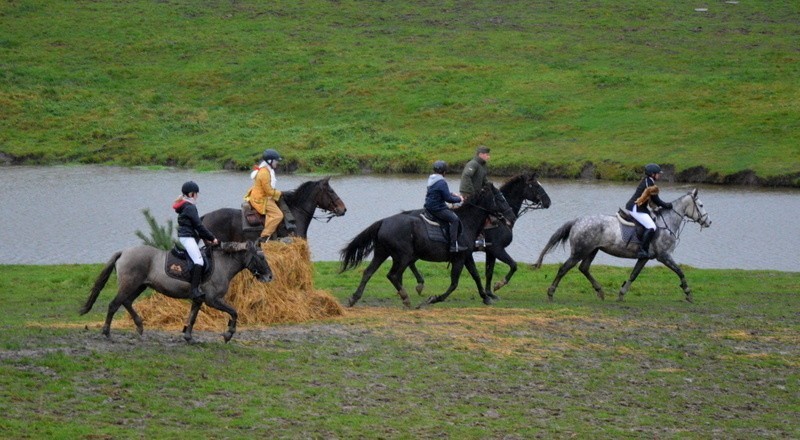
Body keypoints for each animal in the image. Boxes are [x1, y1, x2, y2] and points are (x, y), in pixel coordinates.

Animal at [81, 242, 274, 342]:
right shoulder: (213, 300)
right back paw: (107, 332)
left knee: (126, 302)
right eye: (261, 257)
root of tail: (124, 252)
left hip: (139, 286)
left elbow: (193, 317)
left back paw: (140, 326)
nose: (270, 276)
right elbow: (234, 312)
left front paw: (188, 337)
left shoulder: (199, 299)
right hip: (129, 285)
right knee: (114, 304)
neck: (221, 264)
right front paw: (228, 335)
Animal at [336, 184, 512, 308]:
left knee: (368, 272)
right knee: (393, 275)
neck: (467, 221)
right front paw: (434, 298)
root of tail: (384, 221)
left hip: (382, 253)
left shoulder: (466, 256)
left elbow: (475, 276)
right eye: (501, 198)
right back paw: (406, 298)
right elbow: (454, 283)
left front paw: (486, 297)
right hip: (403, 256)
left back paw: (355, 298)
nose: (510, 215)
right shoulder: (459, 258)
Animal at [406, 174, 552, 300]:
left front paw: (489, 293)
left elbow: (489, 272)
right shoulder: (497, 249)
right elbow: (513, 265)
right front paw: (498, 285)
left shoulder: (490, 252)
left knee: (411, 262)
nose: (548, 202)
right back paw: (420, 284)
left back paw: (419, 284)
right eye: (535, 185)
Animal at [532, 189, 712, 302]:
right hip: (580, 252)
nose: (708, 222)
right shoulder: (664, 256)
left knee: (584, 268)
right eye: (701, 205)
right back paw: (551, 293)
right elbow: (680, 272)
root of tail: (577, 220)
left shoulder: (644, 258)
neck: (665, 223)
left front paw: (621, 293)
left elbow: (634, 275)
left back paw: (600, 291)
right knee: (564, 268)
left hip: (592, 250)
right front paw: (688, 293)